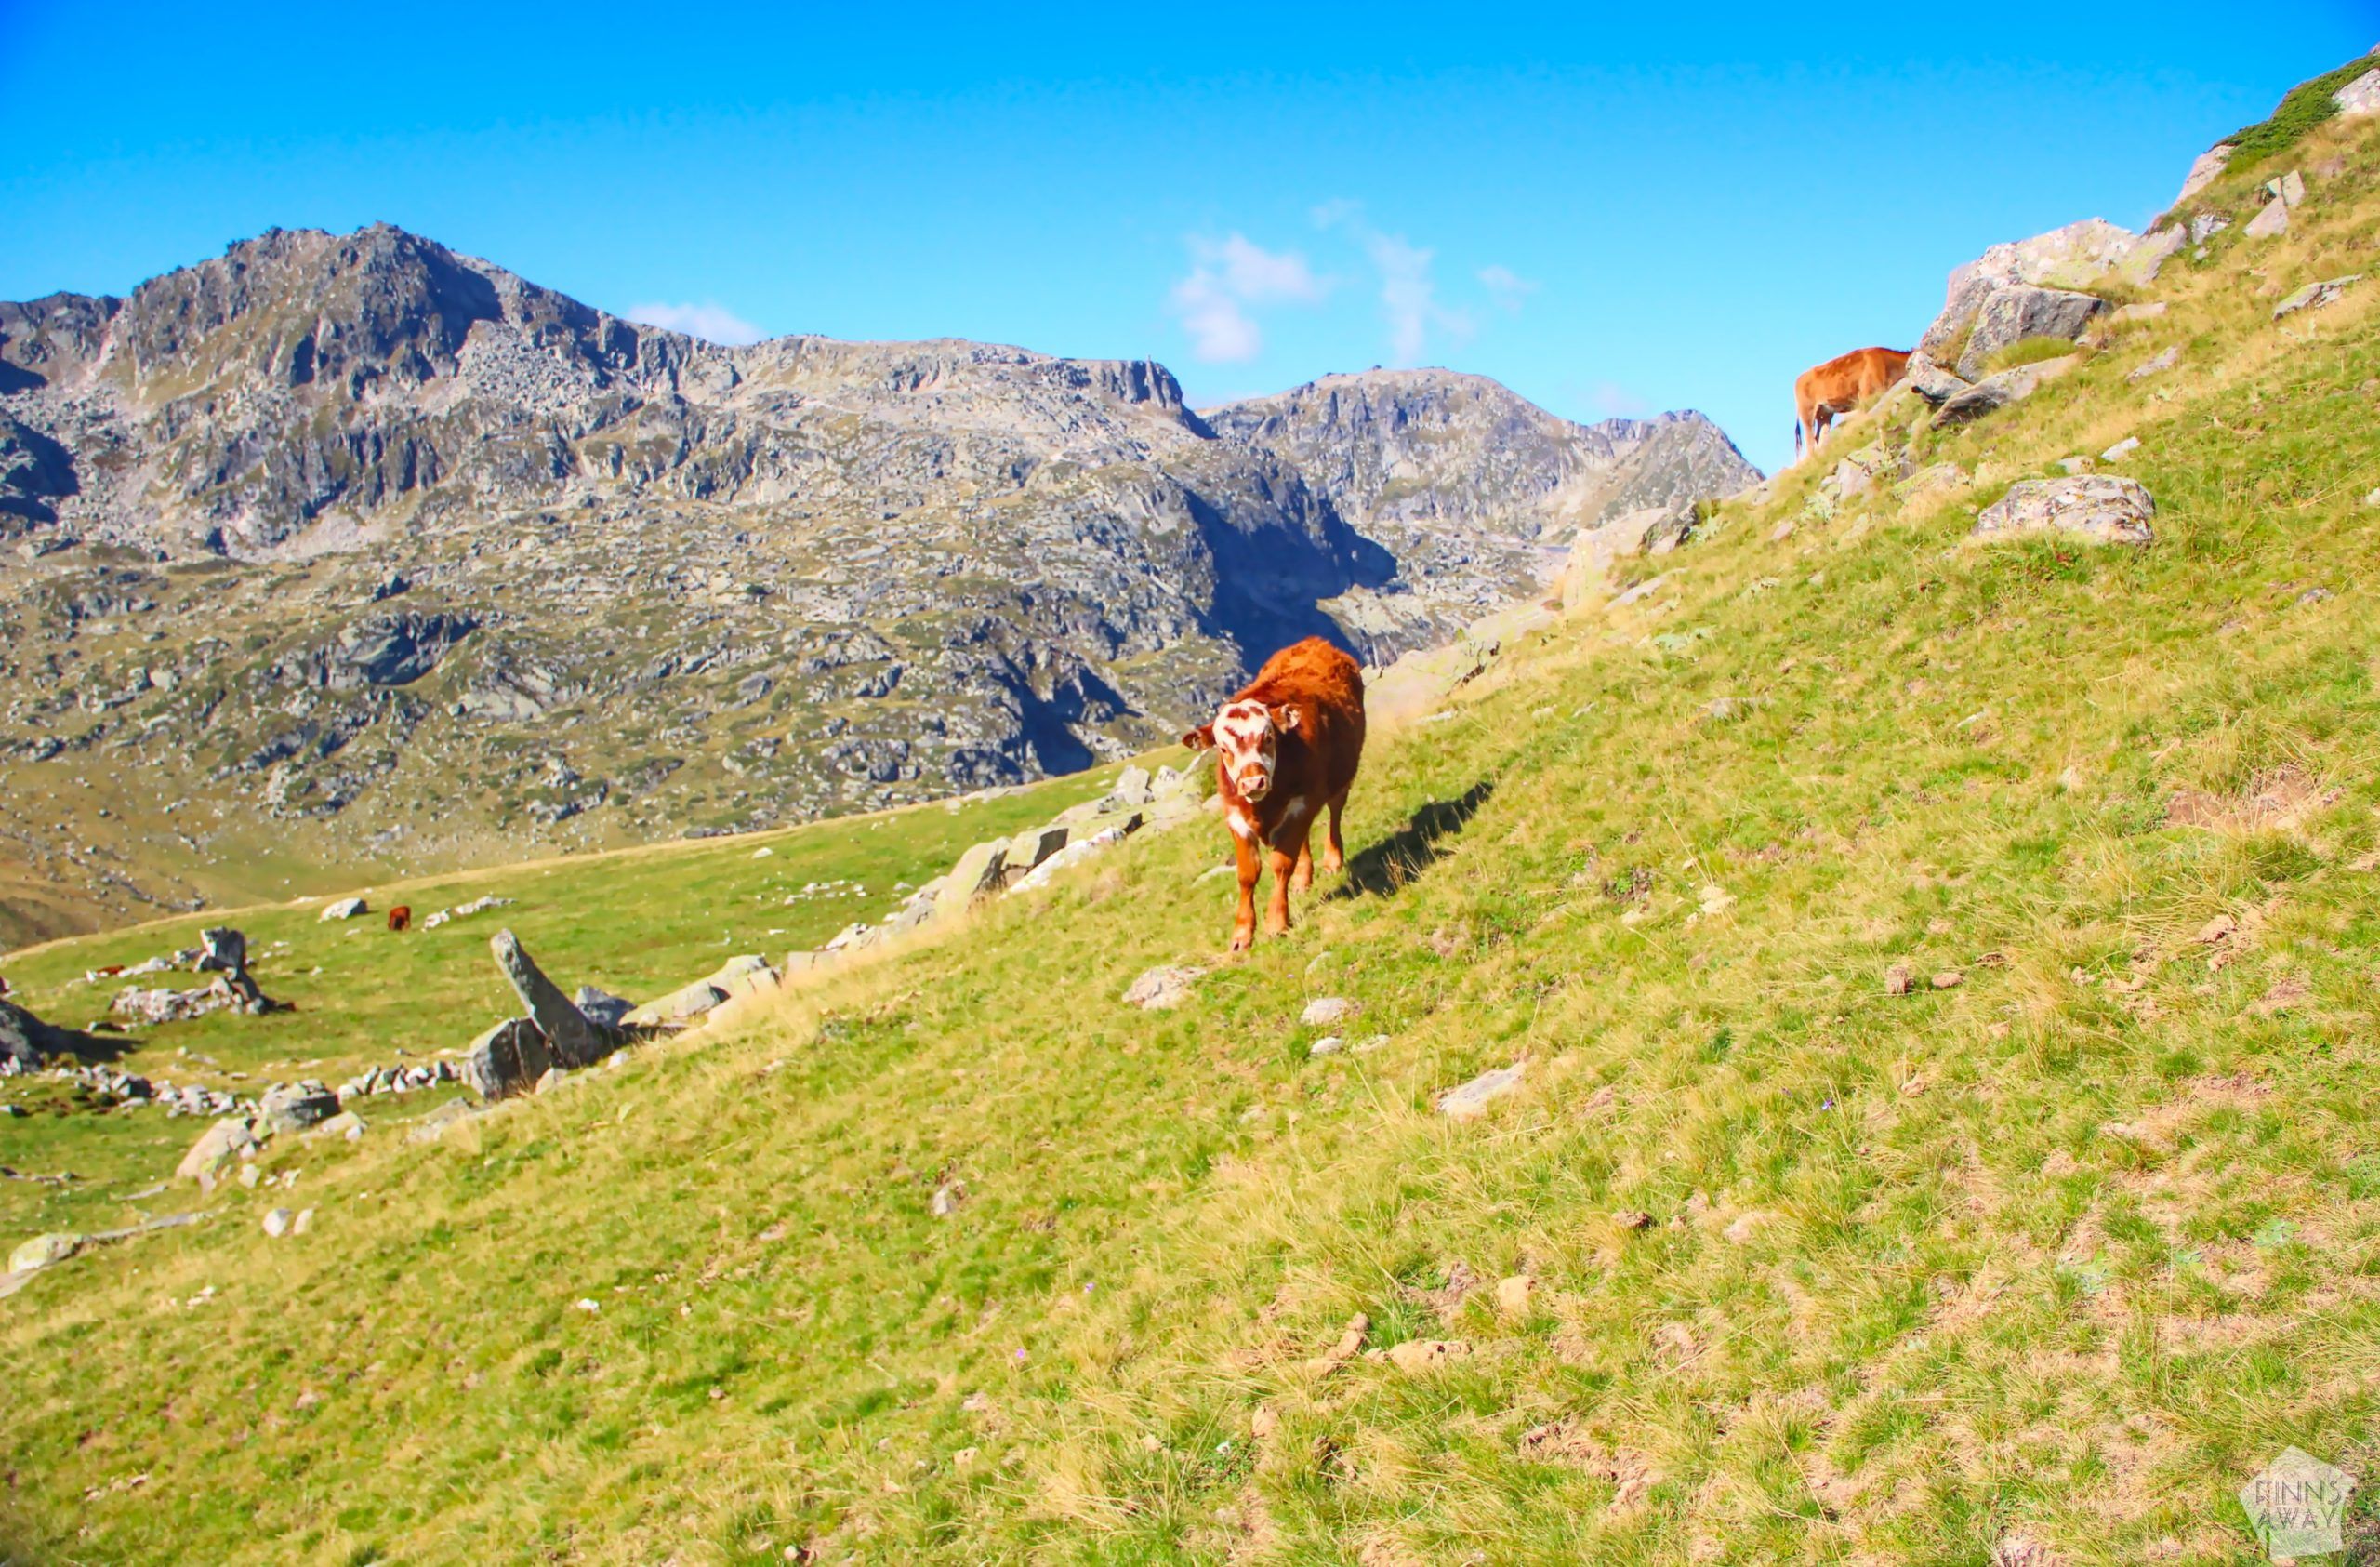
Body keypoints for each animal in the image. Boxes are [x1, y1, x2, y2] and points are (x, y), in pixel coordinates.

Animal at [1182, 637, 1366, 952]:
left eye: (1268, 737)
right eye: (1223, 748)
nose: (1253, 782)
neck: (1263, 807)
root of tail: (1315, 641)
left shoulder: (1302, 803)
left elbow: (1281, 864)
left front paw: (1277, 922)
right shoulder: (1236, 817)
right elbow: (1247, 875)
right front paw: (1241, 934)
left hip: (1341, 776)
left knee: (1334, 814)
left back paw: (1332, 860)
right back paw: (1304, 878)